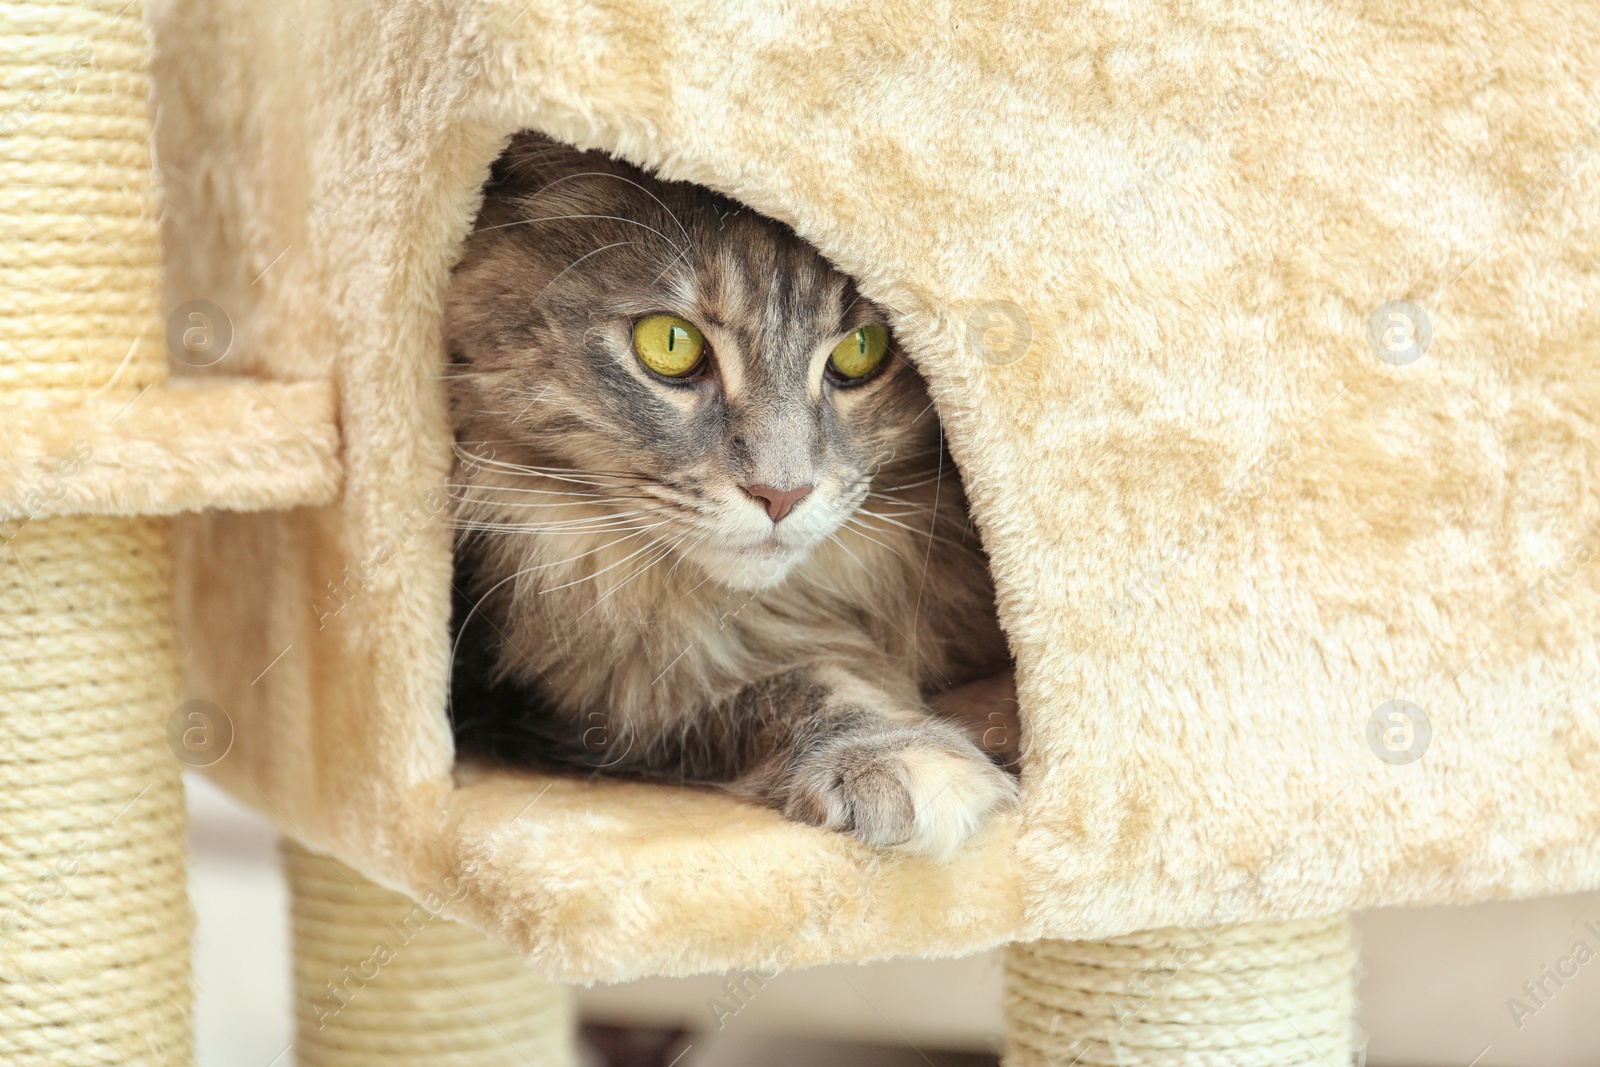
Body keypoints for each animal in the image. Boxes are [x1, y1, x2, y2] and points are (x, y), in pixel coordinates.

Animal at [444, 133, 1011, 863]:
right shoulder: (583, 710)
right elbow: (789, 682)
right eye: (669, 343)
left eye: (862, 350)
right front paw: (898, 752)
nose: (781, 493)